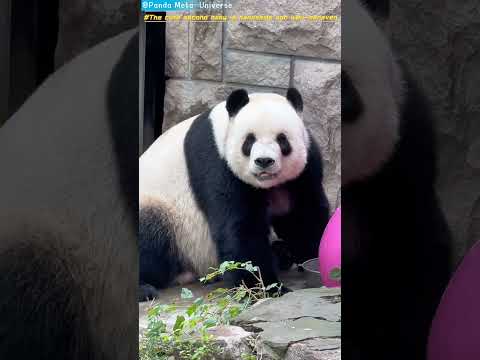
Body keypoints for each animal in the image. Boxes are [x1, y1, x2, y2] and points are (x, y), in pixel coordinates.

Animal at [139, 88, 330, 300]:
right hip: (165, 212)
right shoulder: (216, 162)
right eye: (249, 140)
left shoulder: (305, 166)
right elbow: (239, 226)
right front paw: (265, 288)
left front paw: (312, 255)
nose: (264, 161)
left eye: (282, 140)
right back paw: (145, 288)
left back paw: (282, 254)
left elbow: (303, 215)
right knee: (149, 236)